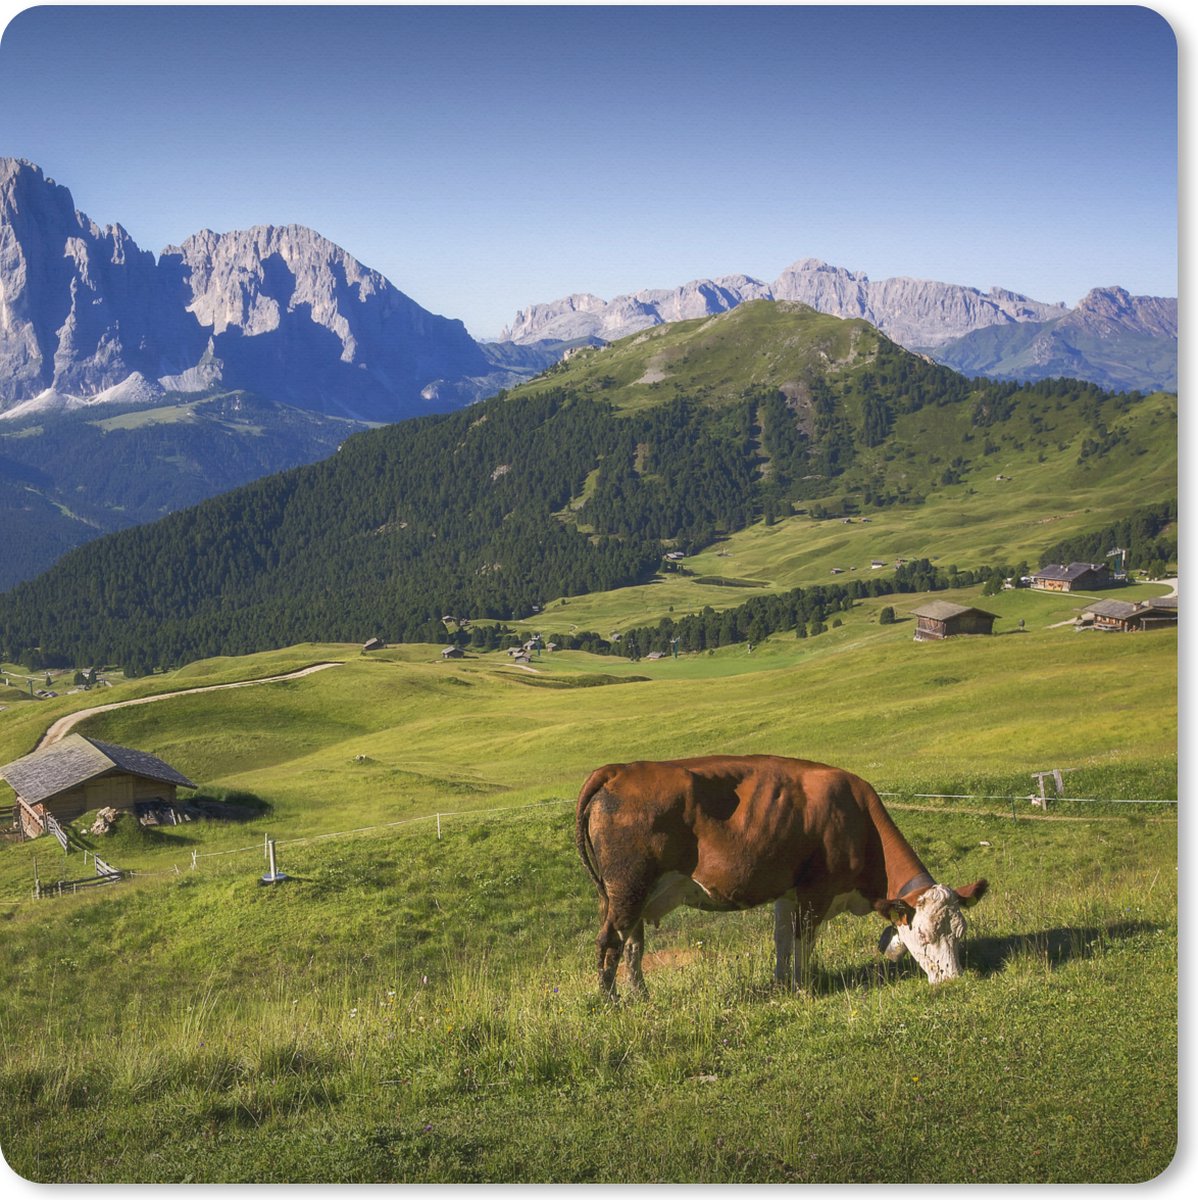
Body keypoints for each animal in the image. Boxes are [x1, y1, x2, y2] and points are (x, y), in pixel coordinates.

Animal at [574, 754, 987, 998]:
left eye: (960, 933)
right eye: (924, 935)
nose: (954, 979)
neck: (858, 817)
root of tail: (619, 770)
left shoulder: (788, 891)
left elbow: (782, 940)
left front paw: (780, 983)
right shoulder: (815, 891)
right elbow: (804, 941)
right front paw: (804, 988)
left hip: (623, 895)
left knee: (632, 945)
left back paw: (640, 996)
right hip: (629, 887)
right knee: (609, 943)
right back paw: (612, 1002)